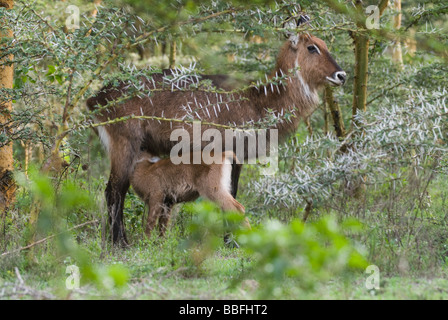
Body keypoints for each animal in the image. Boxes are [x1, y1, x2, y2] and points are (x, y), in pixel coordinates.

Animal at [87, 15, 346, 245]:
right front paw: (231, 241)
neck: (260, 100)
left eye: (325, 44)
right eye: (312, 47)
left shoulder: (236, 158)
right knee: (114, 190)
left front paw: (229, 239)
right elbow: (230, 197)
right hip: (124, 144)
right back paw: (120, 243)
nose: (341, 75)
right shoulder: (228, 153)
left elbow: (232, 195)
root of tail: (95, 98)